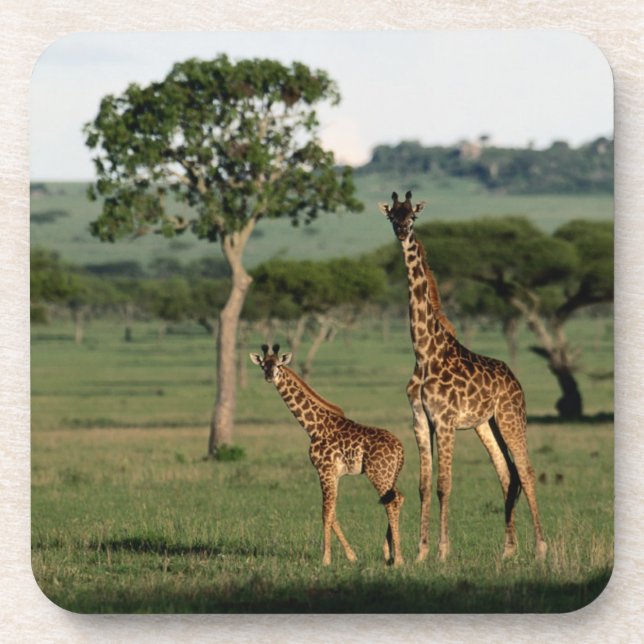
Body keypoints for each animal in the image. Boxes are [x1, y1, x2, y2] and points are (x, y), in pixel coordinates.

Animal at [250, 343, 405, 566]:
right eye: (263, 365)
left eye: (278, 364)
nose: (270, 376)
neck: (313, 427)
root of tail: (401, 449)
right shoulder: (334, 474)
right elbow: (332, 513)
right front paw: (351, 556)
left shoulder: (324, 470)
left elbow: (325, 512)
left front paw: (325, 559)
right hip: (390, 474)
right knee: (397, 498)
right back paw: (388, 553)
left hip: (378, 474)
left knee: (391, 502)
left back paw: (398, 559)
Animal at [378, 191, 547, 563]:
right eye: (392, 216)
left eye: (413, 216)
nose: (401, 231)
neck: (424, 353)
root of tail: (515, 380)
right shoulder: (420, 420)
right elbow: (424, 486)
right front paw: (421, 553)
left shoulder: (445, 421)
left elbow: (444, 486)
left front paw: (442, 552)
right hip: (487, 424)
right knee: (507, 474)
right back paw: (508, 550)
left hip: (511, 417)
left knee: (526, 471)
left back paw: (541, 548)